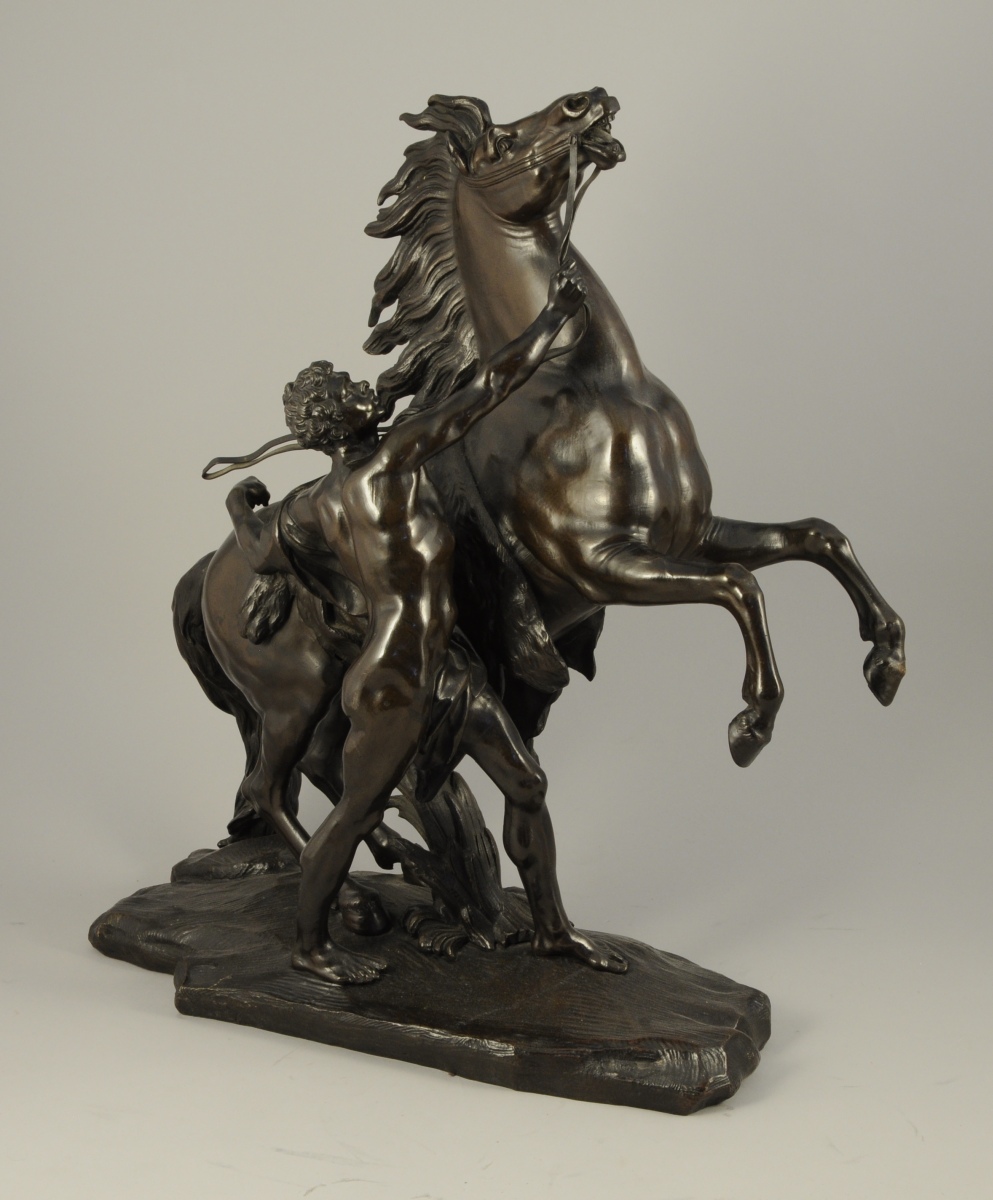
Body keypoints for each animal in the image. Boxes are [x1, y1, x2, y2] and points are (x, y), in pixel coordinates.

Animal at [362, 88, 905, 758]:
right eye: (504, 143)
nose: (587, 101)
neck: (605, 385)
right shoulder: (604, 564)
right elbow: (738, 584)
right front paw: (752, 723)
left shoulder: (691, 534)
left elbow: (815, 535)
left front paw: (886, 659)